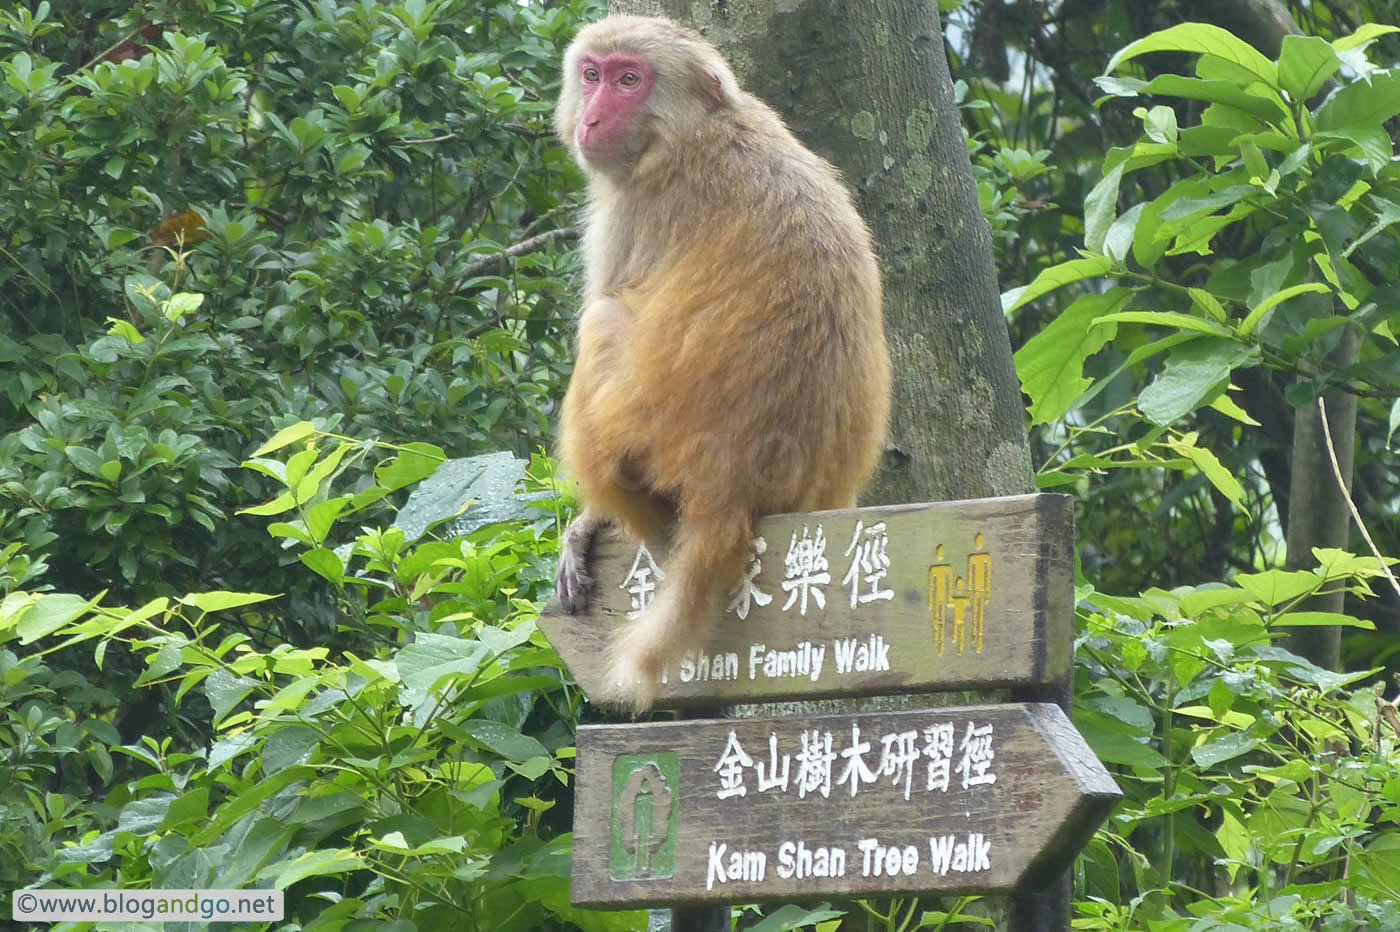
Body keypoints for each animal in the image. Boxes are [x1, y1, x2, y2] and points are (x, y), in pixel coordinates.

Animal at [554, 14, 890, 708]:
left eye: (629, 80)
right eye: (592, 74)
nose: (591, 119)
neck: (703, 128)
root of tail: (733, 486)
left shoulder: (630, 210)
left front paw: (587, 521)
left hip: (644, 443)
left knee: (604, 322)